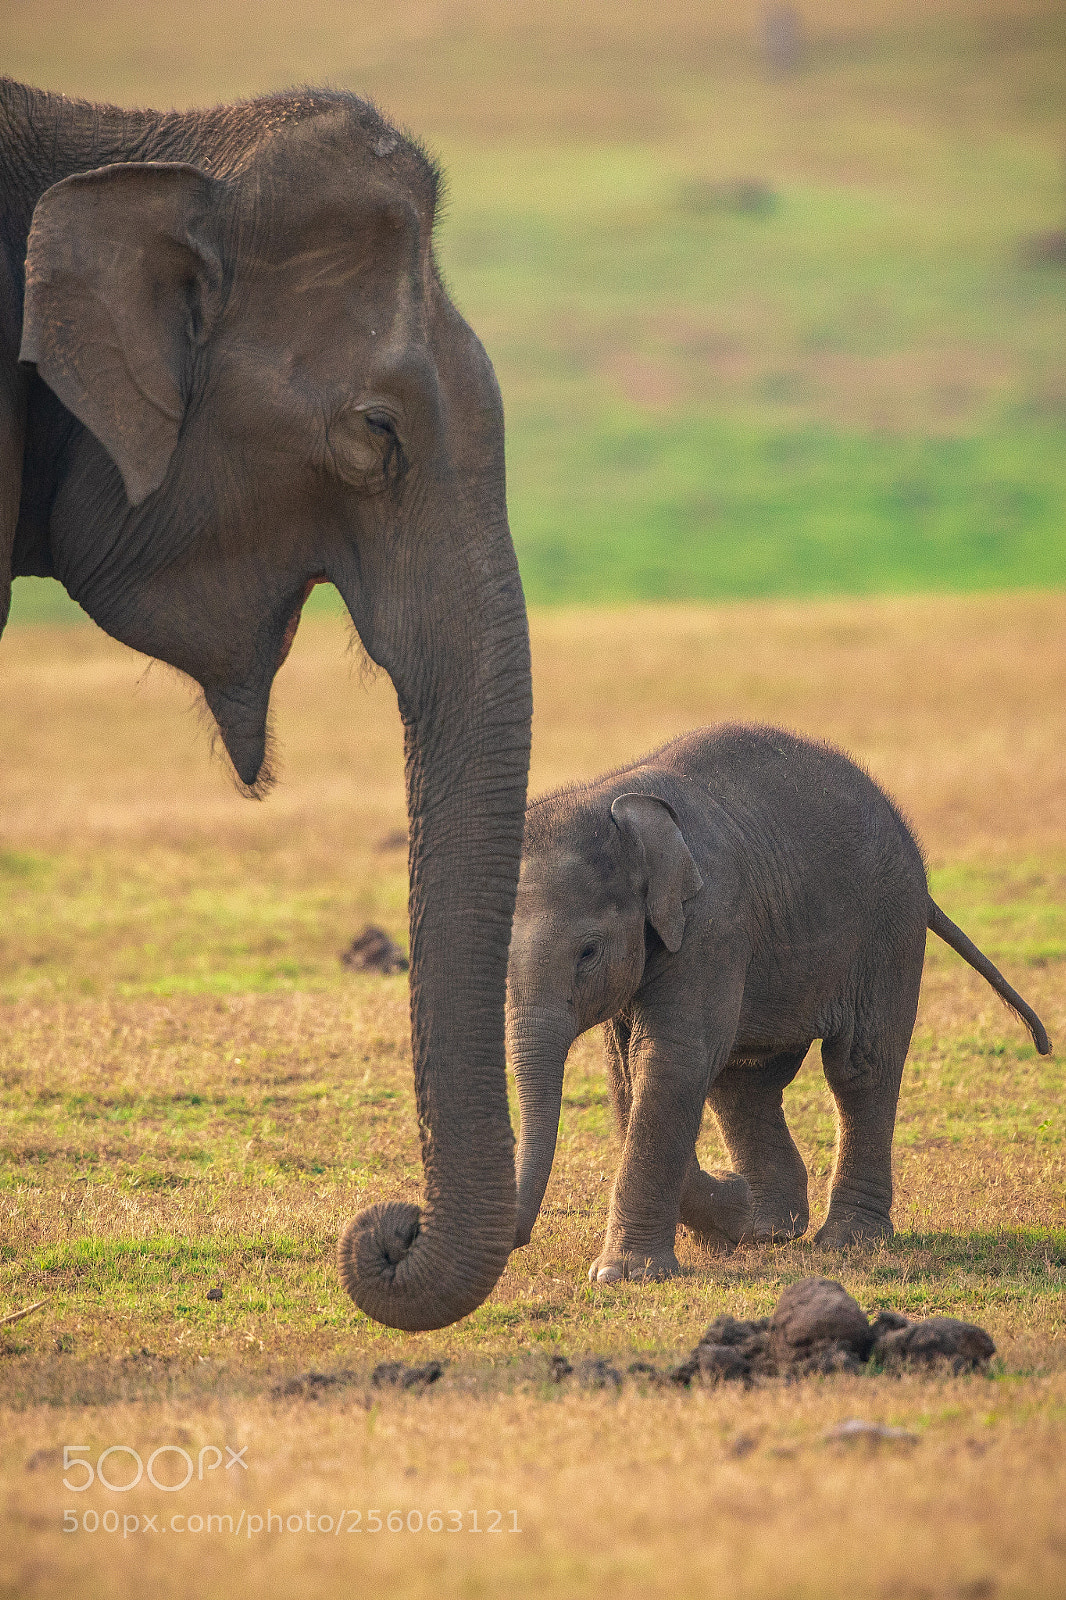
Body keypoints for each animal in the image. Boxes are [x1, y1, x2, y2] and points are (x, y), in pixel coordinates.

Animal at [506, 723, 1050, 1284]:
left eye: (589, 952)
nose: (516, 1239)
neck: (612, 804)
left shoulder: (713, 923)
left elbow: (672, 1059)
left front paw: (626, 1274)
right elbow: (628, 1071)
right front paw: (730, 1213)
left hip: (889, 927)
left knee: (860, 1068)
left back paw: (844, 1239)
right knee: (746, 1078)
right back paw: (770, 1227)